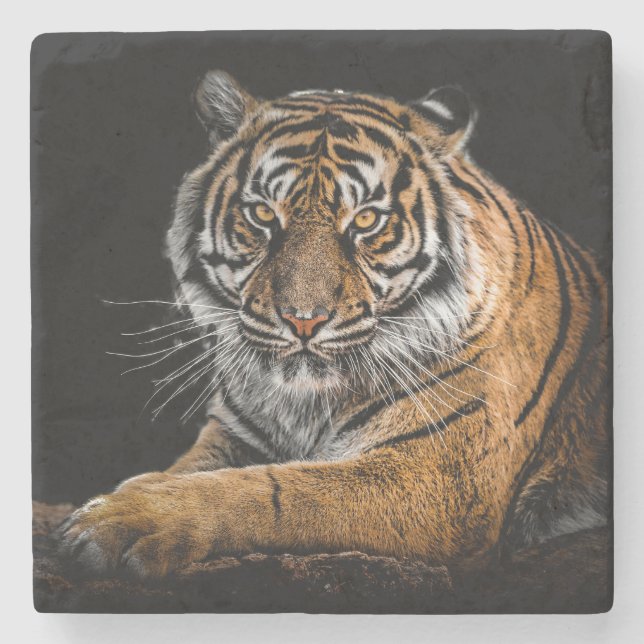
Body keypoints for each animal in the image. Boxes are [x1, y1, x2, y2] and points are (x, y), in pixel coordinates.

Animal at [57, 71, 610, 579]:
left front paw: (123, 519)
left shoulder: (441, 477)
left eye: (365, 220)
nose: (304, 321)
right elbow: (188, 470)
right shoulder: (232, 432)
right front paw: (124, 496)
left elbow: (277, 489)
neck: (304, 403)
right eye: (262, 215)